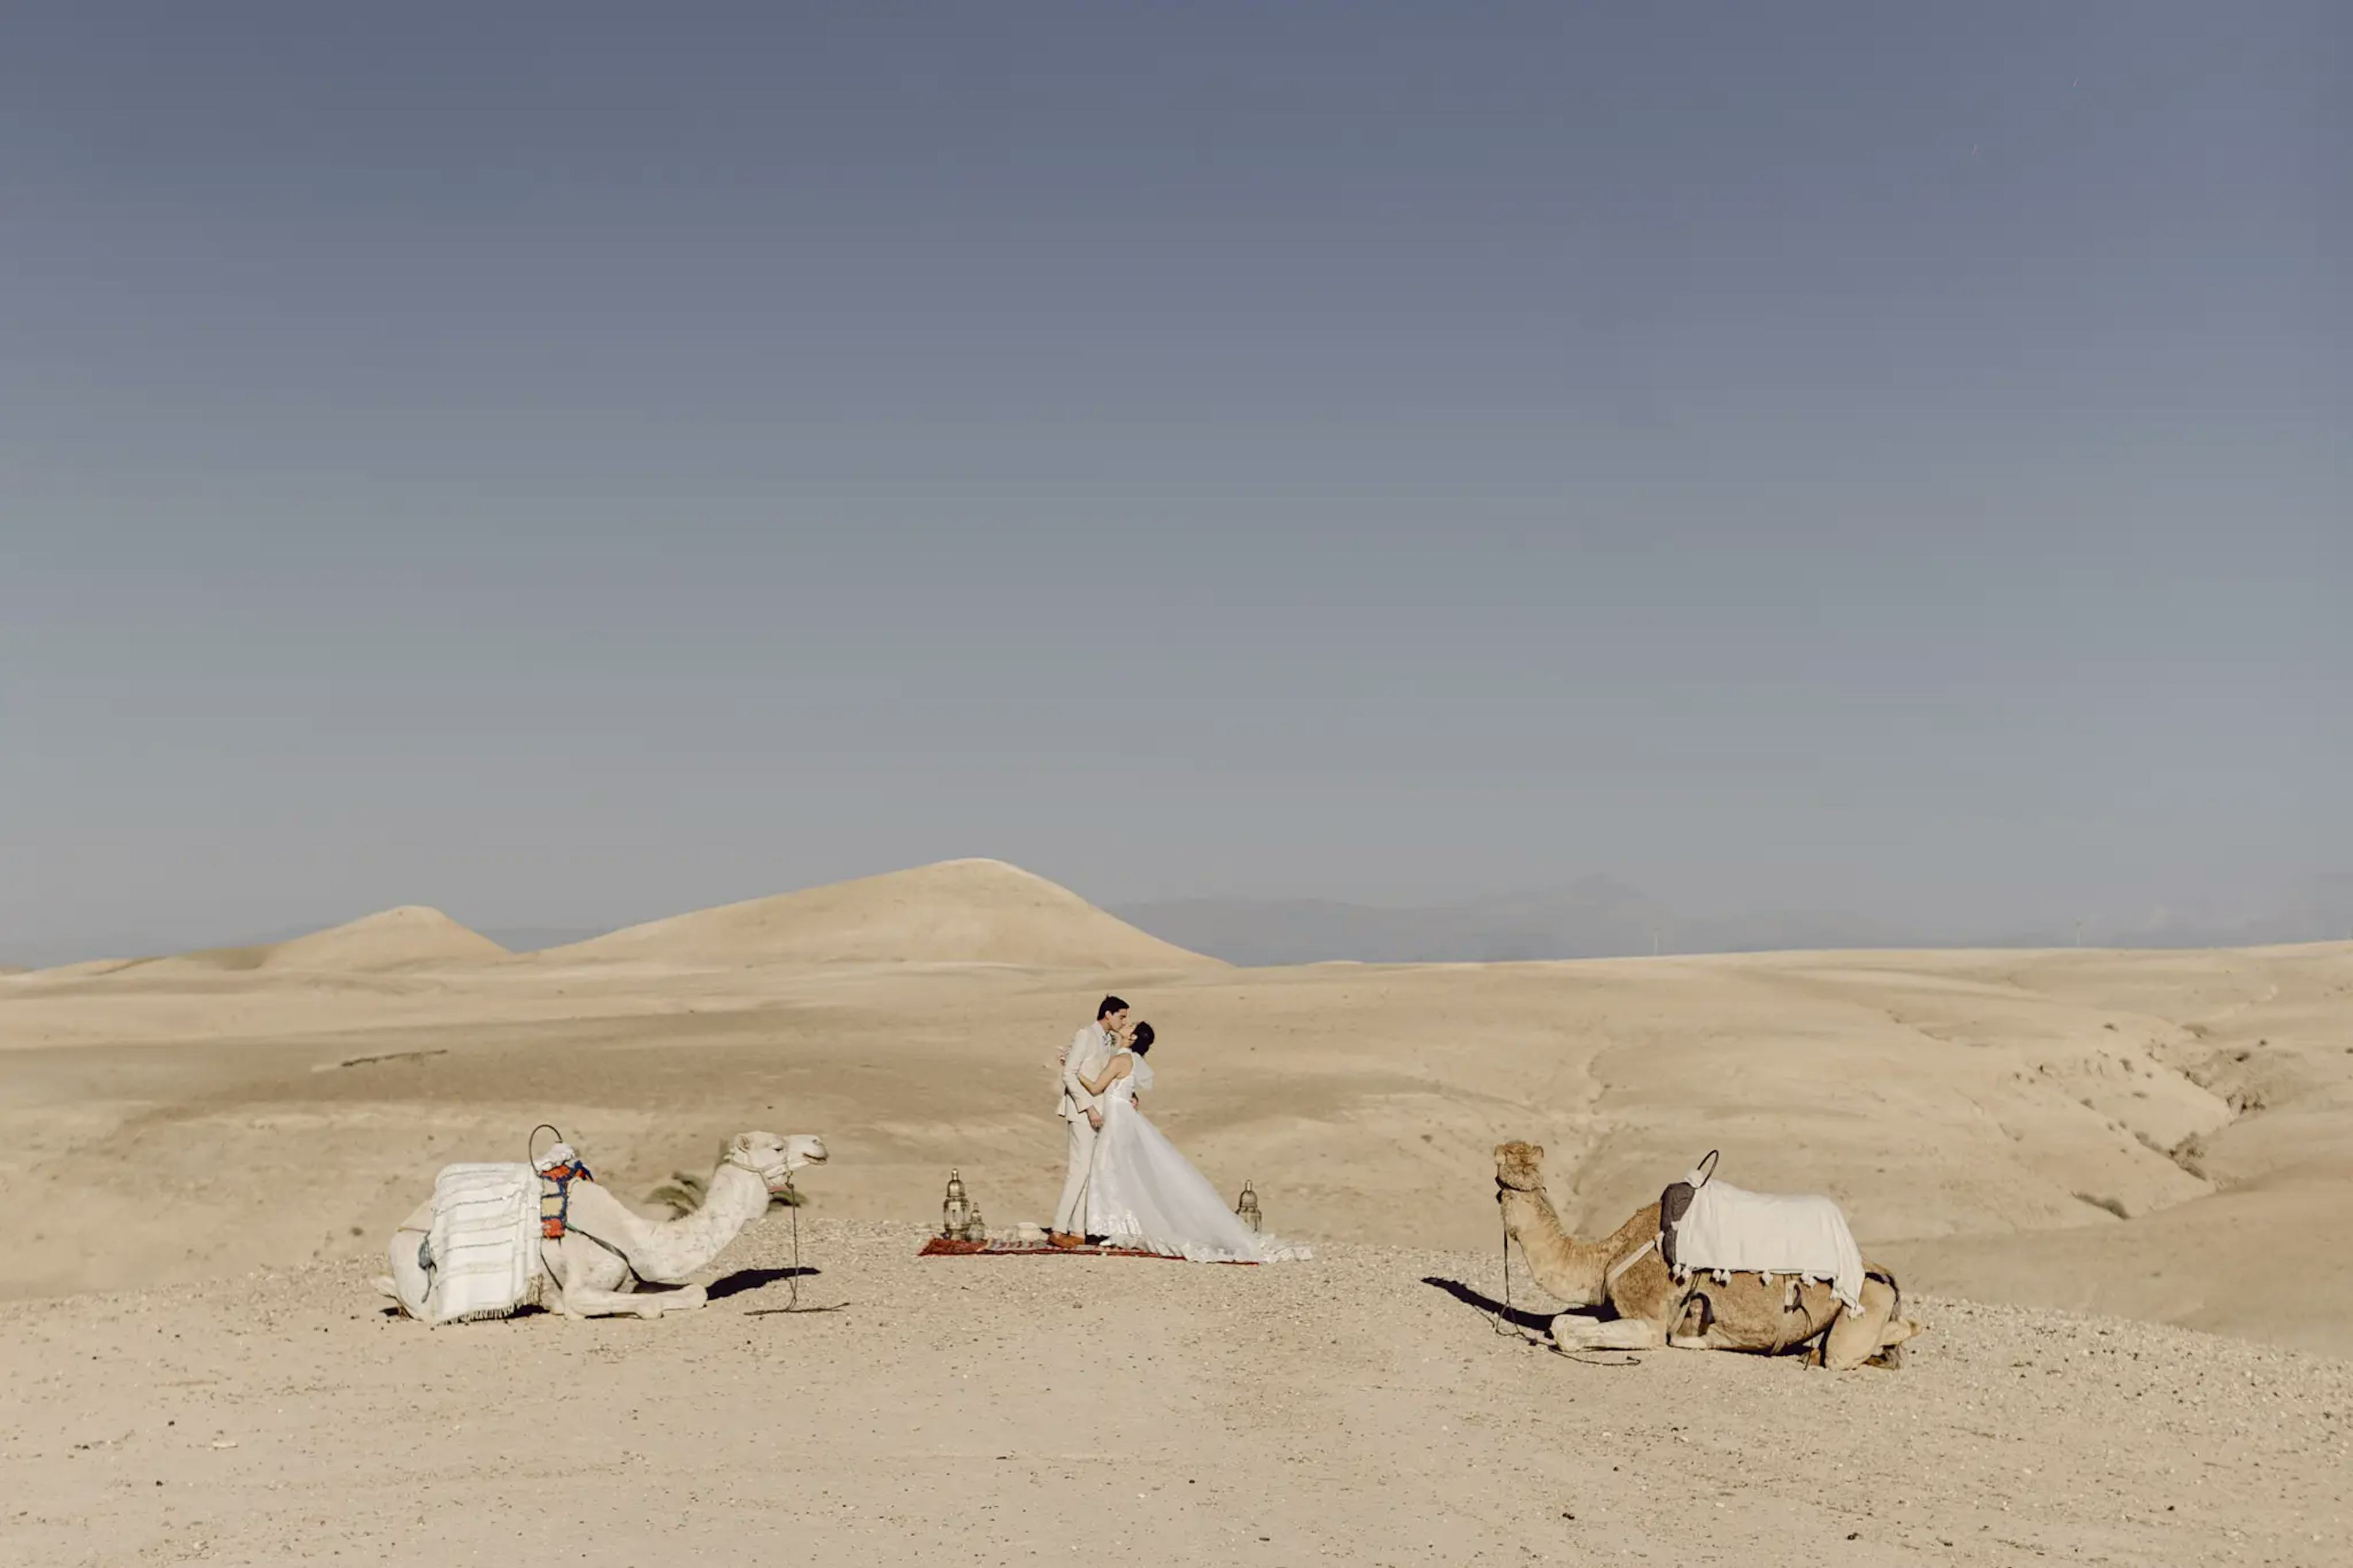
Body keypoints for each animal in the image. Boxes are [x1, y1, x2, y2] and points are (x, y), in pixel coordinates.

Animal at [376, 1125, 828, 1318]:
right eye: (777, 1146)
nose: (819, 1142)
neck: (633, 1234)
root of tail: (398, 1233)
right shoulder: (582, 1284)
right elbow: (625, 1305)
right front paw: (561, 1306)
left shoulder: (638, 1274)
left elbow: (695, 1291)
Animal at [1496, 1135, 1920, 1365]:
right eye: (1506, 1170)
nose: (1506, 1157)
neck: (1605, 1259)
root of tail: (1878, 1270)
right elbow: (1560, 1322)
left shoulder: (1648, 1321)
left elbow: (1568, 1333)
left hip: (1864, 1304)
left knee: (1850, 1349)